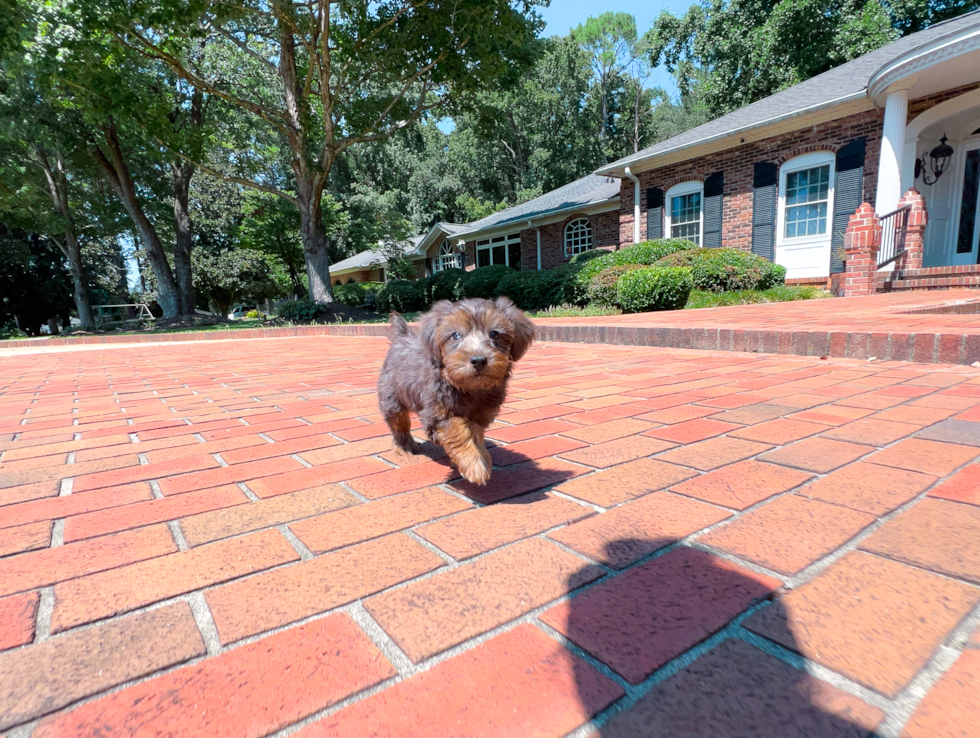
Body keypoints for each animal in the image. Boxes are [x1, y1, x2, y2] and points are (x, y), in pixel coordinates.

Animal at [378, 296, 536, 486]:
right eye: (455, 335)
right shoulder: (437, 414)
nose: (478, 360)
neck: (470, 388)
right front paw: (475, 464)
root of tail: (402, 337)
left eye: (494, 334)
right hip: (392, 398)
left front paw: (469, 458)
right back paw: (405, 445)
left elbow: (474, 432)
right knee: (399, 422)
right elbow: (458, 430)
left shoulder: (481, 415)